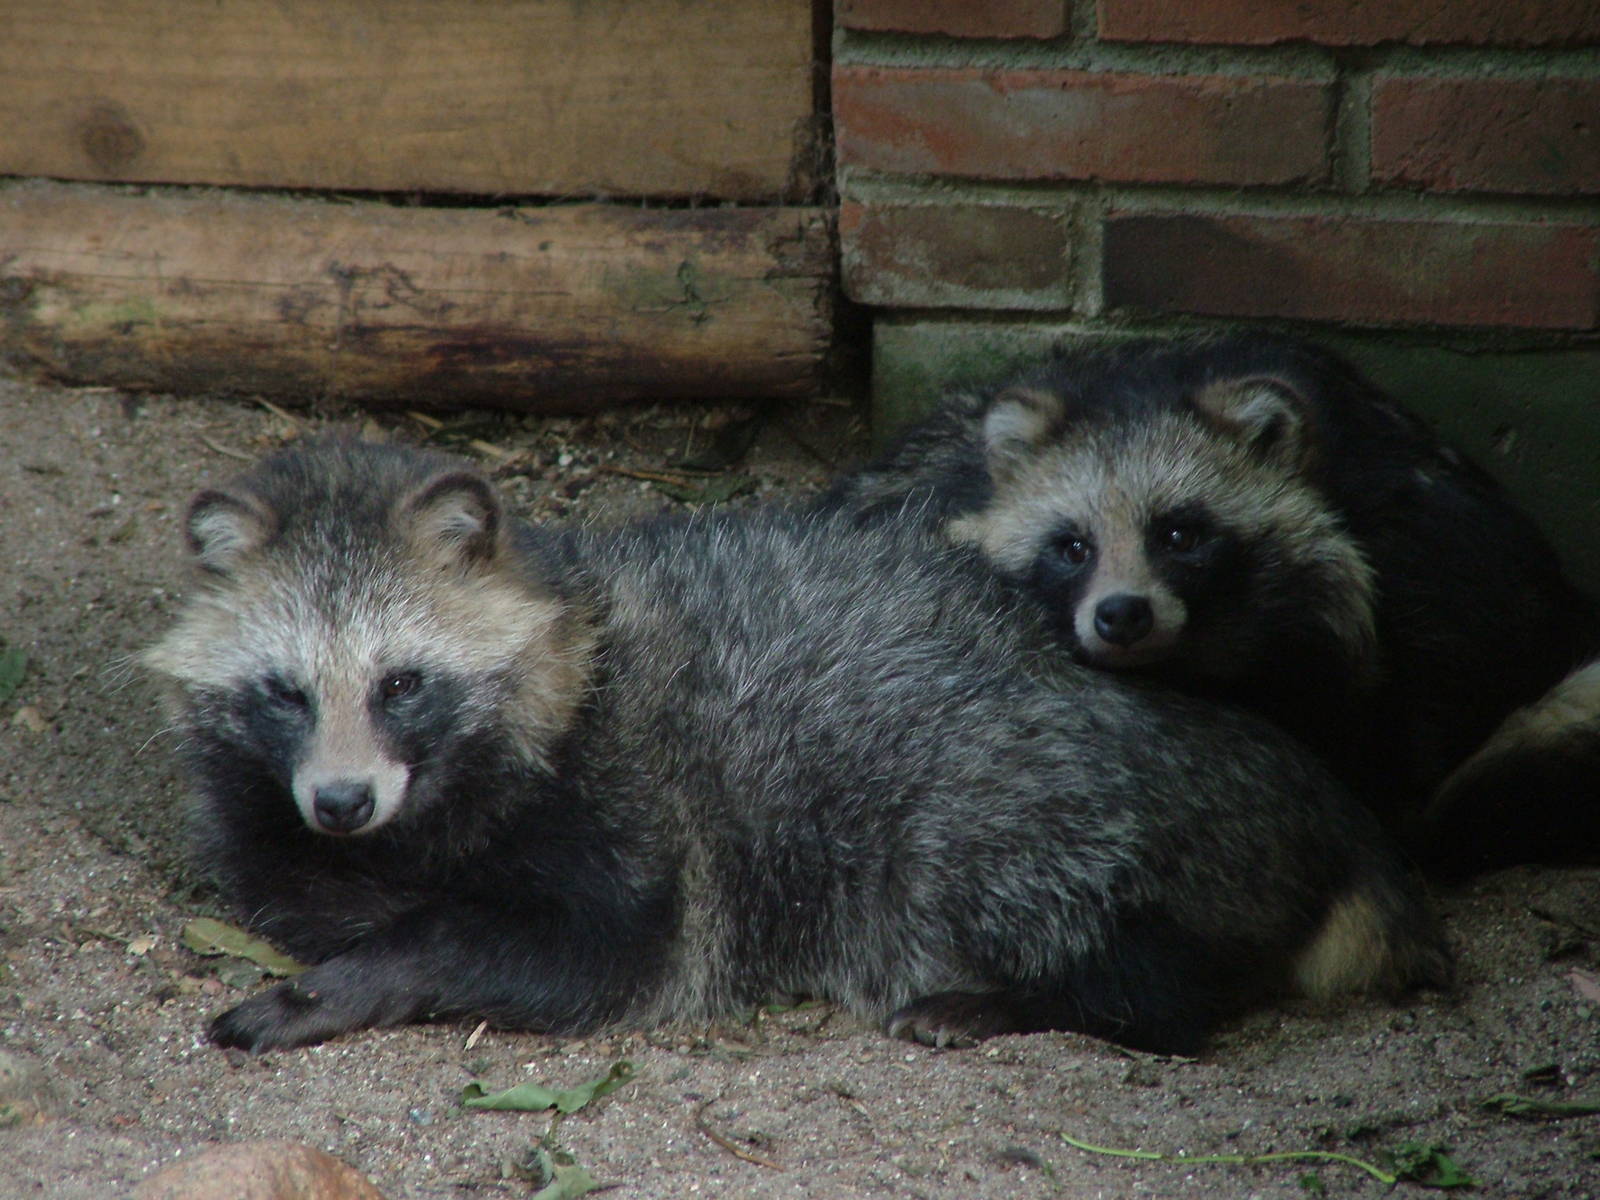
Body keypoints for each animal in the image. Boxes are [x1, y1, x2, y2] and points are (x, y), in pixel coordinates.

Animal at [144, 438, 1450, 1054]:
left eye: (402, 683)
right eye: (285, 693)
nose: (342, 800)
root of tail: (1325, 808)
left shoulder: (633, 809)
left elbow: (582, 948)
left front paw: (358, 975)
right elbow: (291, 880)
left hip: (1025, 786)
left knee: (1040, 891)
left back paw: (1046, 995)